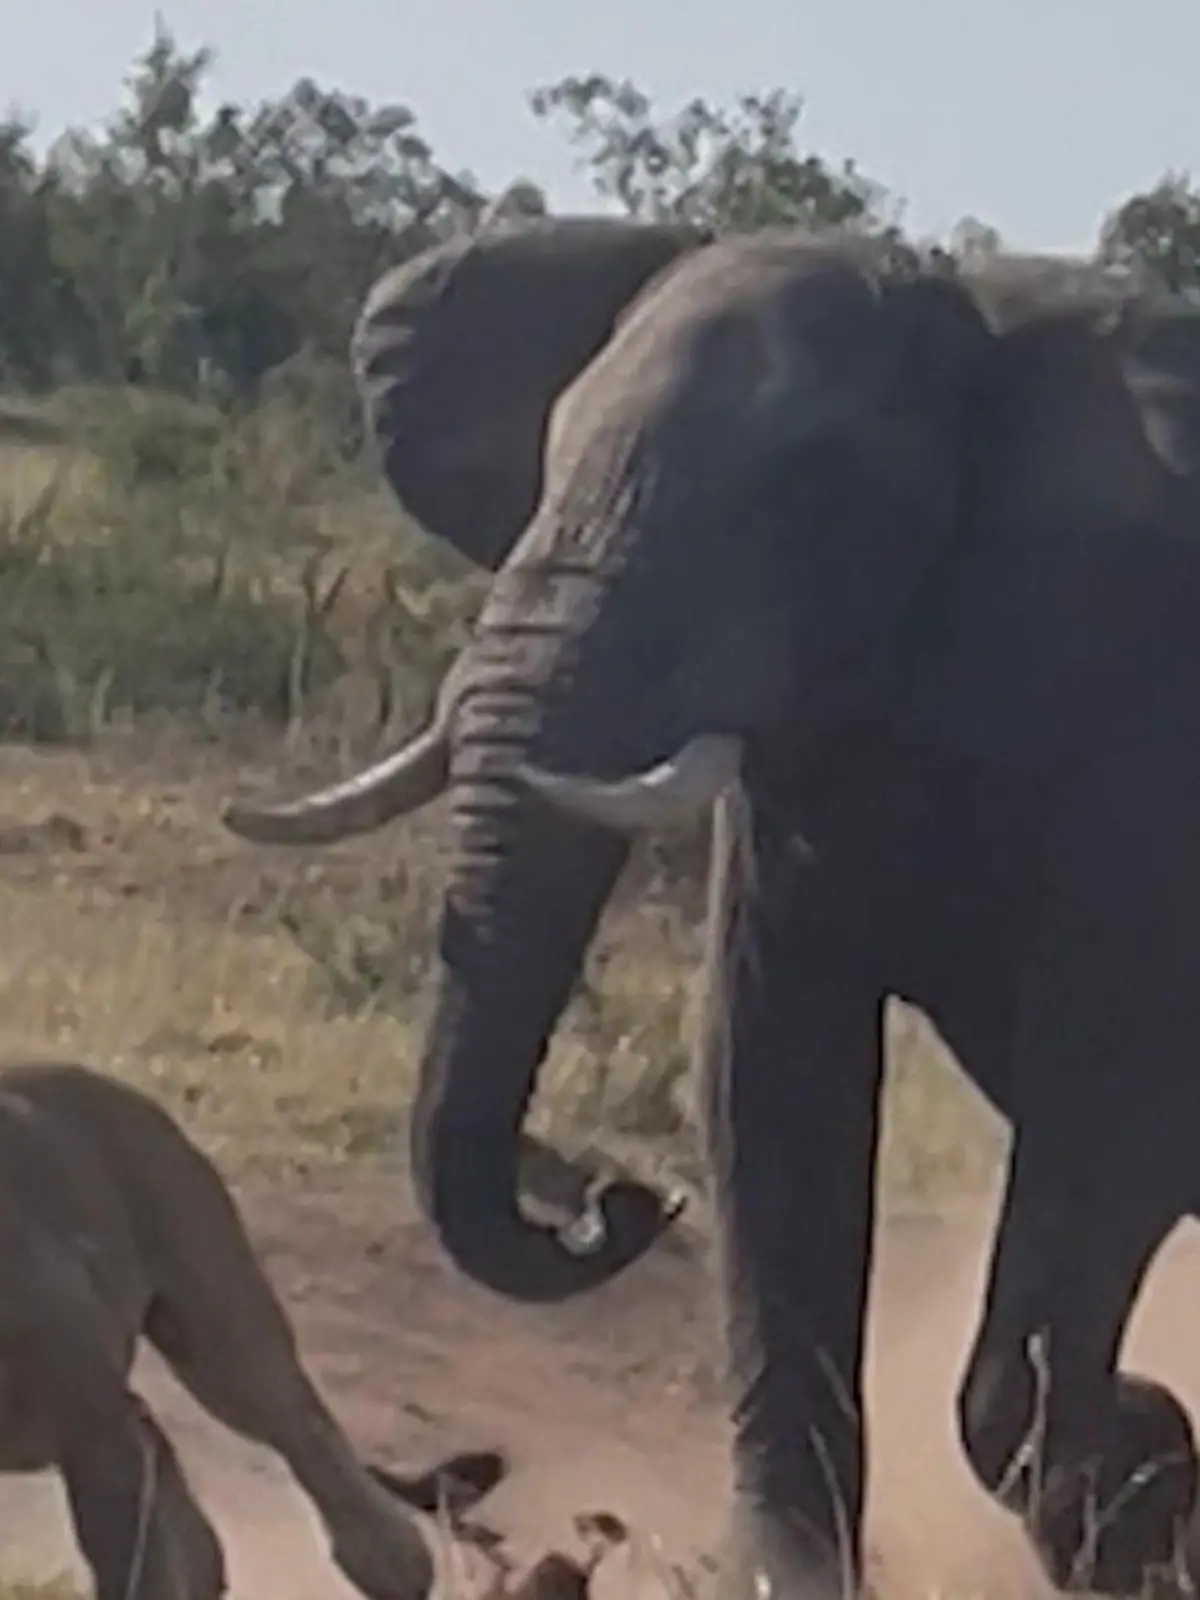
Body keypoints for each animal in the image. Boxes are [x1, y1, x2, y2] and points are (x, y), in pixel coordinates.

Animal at [0, 1059, 507, 1600]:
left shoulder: (96, 1432)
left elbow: (131, 1560)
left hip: (223, 1341)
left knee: (305, 1430)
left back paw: (392, 1563)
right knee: (160, 1443)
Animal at [221, 220, 1200, 1599]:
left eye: (807, 503)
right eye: (545, 457)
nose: (609, 1198)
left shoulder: (1152, 770)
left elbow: (1110, 1118)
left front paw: (1139, 1484)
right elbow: (768, 1079)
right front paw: (781, 1572)